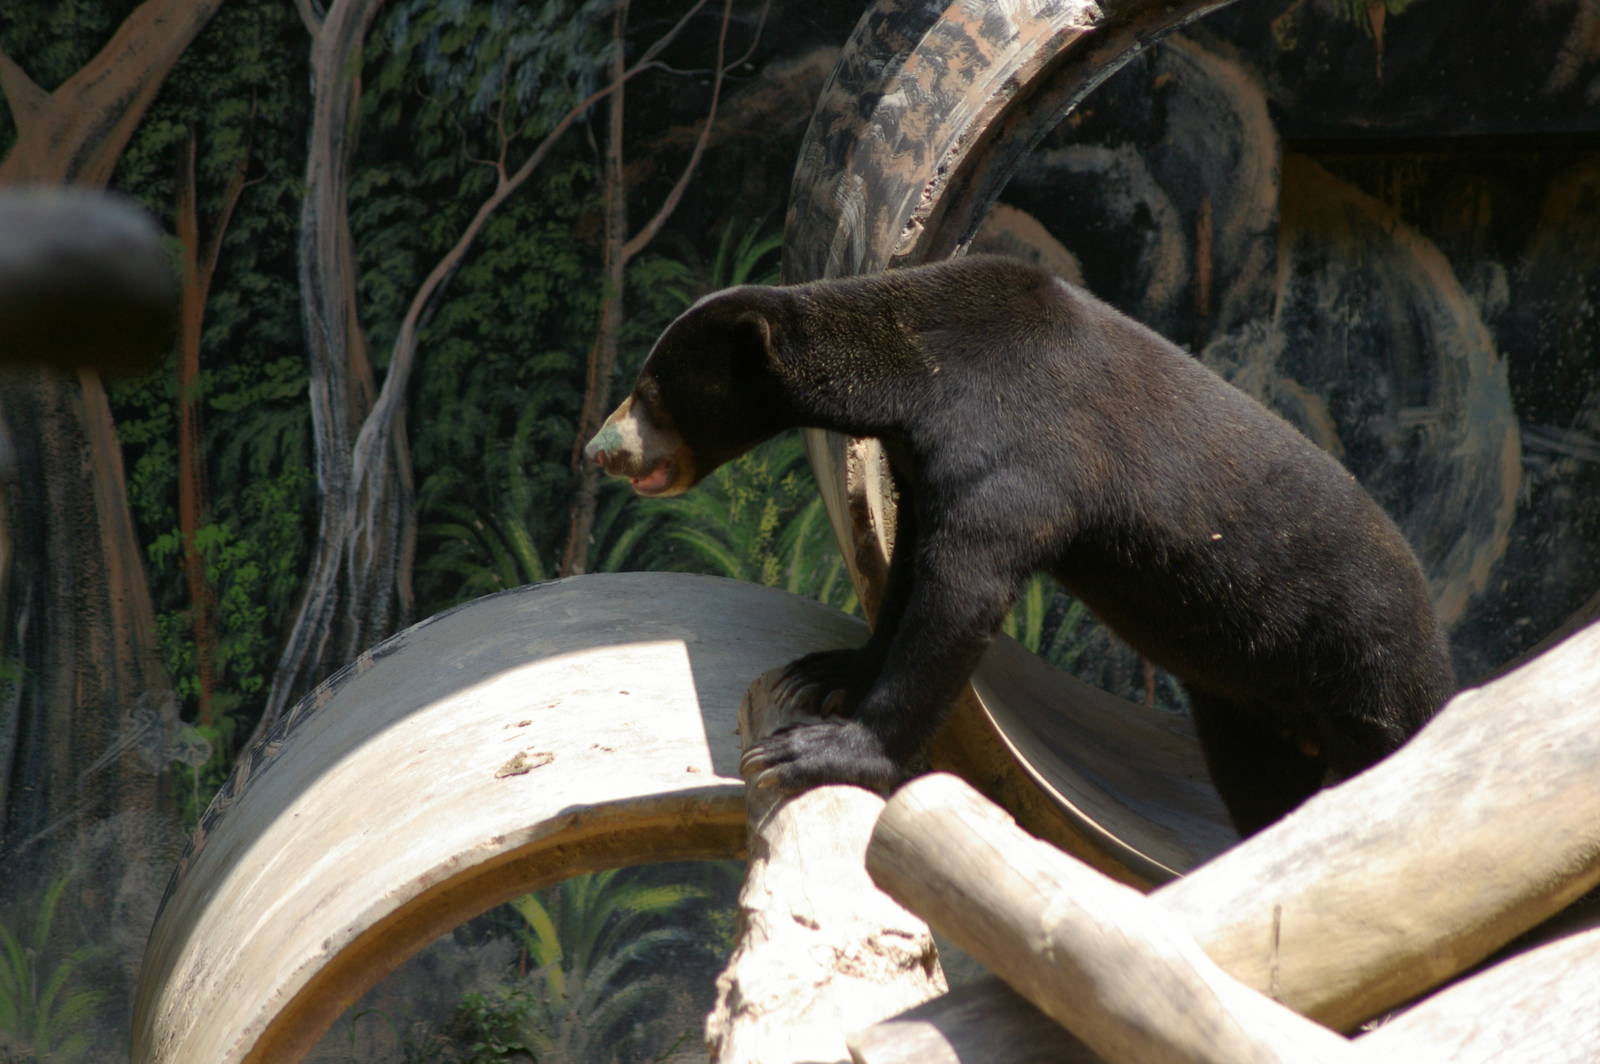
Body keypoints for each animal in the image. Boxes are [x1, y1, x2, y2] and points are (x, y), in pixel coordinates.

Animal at [583, 255, 1454, 836]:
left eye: (653, 390)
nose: (599, 449)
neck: (920, 373)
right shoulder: (921, 465)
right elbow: (907, 577)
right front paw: (827, 672)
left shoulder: (1016, 443)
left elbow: (959, 595)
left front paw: (815, 750)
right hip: (1247, 701)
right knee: (1259, 783)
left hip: (1362, 653)